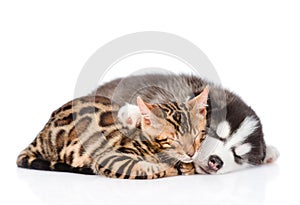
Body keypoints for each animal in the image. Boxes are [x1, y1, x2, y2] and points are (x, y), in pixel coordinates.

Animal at [16, 87, 209, 179]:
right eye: (173, 139)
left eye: (197, 135)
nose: (191, 153)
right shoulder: (111, 158)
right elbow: (143, 167)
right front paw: (171, 168)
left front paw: (185, 166)